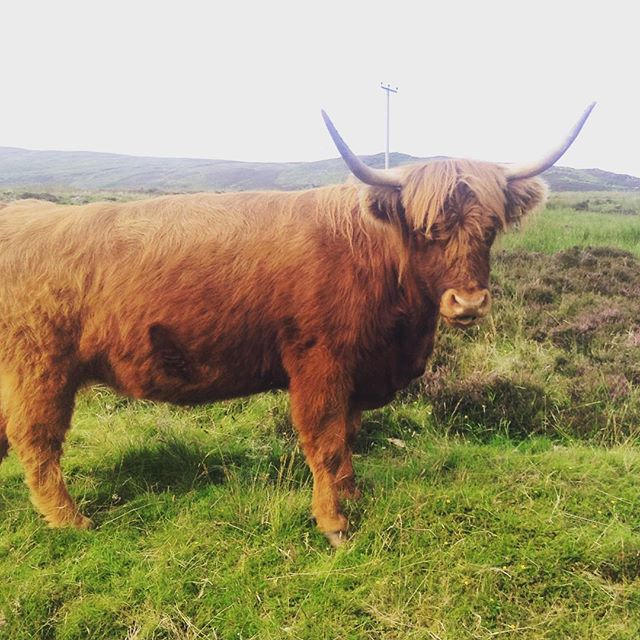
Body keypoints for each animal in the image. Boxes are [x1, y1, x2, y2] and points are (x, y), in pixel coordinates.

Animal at [0, 104, 594, 546]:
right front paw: (334, 524)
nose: (468, 302)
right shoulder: (319, 361)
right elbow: (325, 438)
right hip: (41, 368)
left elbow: (349, 434)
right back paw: (72, 520)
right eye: (427, 229)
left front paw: (352, 495)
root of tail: (22, 213)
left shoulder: (358, 368)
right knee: (37, 438)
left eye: (491, 228)